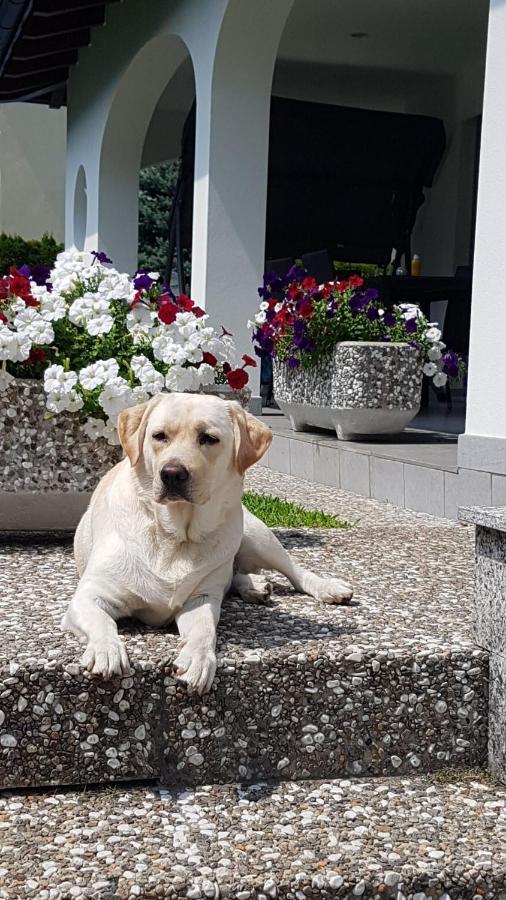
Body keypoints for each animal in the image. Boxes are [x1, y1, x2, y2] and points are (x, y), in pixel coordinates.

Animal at [62, 390, 352, 692]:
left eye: (209, 438)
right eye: (159, 436)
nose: (172, 473)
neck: (175, 535)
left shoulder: (202, 599)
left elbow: (204, 630)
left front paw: (198, 659)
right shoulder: (89, 596)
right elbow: (102, 622)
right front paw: (106, 650)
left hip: (255, 535)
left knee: (293, 570)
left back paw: (325, 587)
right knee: (237, 574)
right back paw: (254, 585)